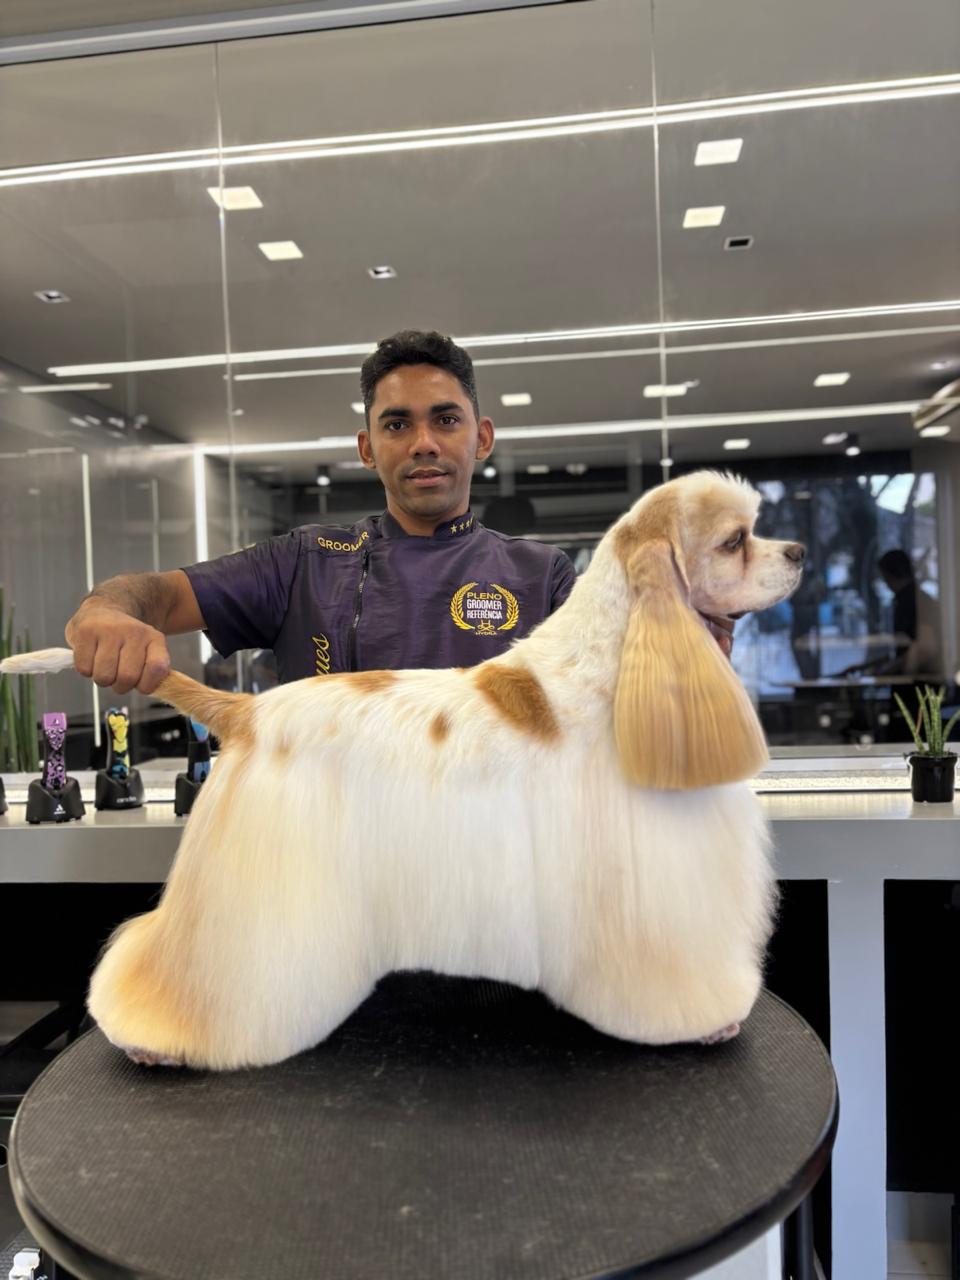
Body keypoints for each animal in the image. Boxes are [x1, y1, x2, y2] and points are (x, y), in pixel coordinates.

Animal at [3, 471, 804, 1071]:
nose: (797, 550)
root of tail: (247, 711)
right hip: (254, 892)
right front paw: (701, 1020)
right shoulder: (642, 881)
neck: (612, 669)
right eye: (735, 541)